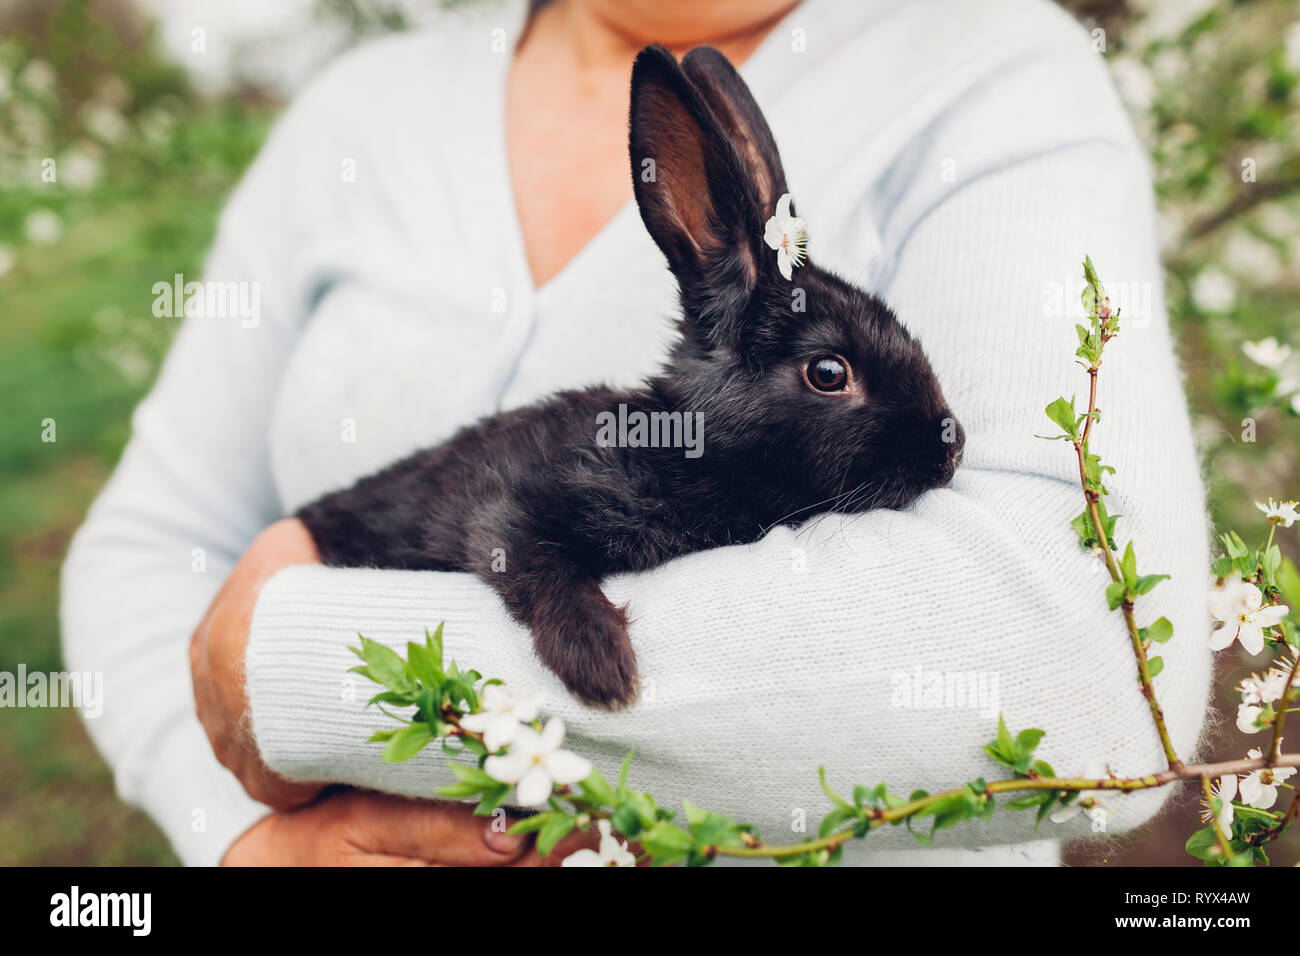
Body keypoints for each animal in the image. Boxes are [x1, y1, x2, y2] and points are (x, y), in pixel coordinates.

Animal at [296, 44, 964, 709]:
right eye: (828, 372)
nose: (951, 446)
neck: (685, 445)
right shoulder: (504, 507)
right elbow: (533, 561)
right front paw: (604, 669)